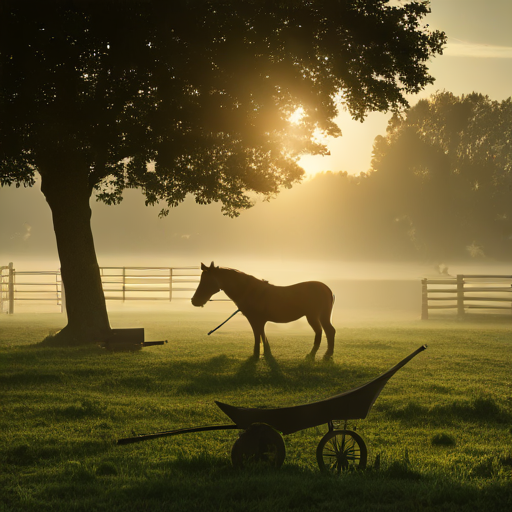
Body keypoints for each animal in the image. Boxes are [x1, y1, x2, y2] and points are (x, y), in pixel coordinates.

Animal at [190, 264, 334, 360]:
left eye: (207, 281)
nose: (194, 300)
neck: (250, 291)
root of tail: (327, 289)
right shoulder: (259, 321)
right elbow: (262, 336)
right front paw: (265, 354)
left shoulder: (255, 320)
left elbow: (257, 336)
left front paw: (256, 355)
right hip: (321, 316)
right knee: (328, 331)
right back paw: (327, 354)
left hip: (313, 316)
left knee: (321, 332)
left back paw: (314, 355)